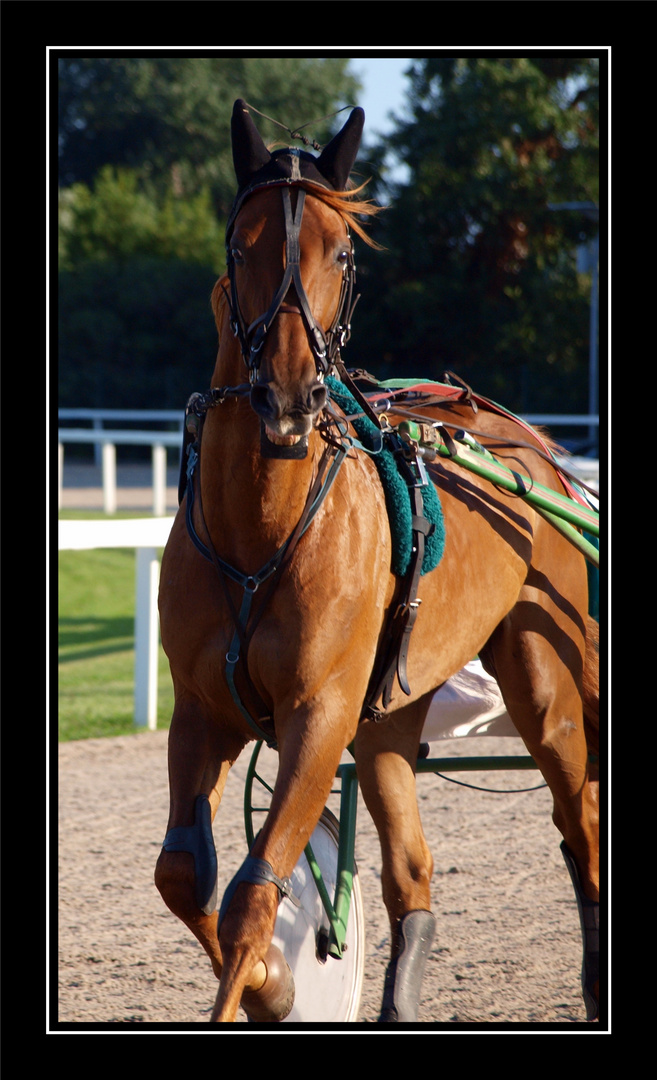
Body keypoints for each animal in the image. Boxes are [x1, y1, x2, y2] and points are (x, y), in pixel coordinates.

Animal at [155, 99, 600, 1019]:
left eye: (343, 252)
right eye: (240, 245)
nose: (288, 398)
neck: (260, 531)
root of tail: (529, 446)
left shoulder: (317, 713)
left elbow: (252, 892)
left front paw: (272, 977)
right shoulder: (203, 710)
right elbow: (185, 874)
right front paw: (279, 979)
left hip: (544, 676)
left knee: (578, 822)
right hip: (391, 710)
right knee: (410, 874)